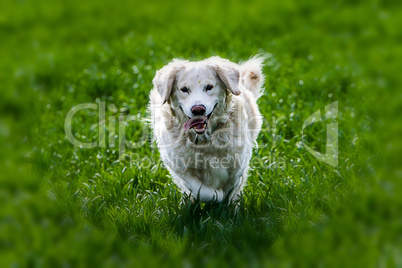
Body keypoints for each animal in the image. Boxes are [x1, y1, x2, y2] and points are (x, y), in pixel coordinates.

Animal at [149, 55, 266, 202]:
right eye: (184, 89)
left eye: (209, 87)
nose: (198, 109)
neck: (204, 139)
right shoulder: (181, 168)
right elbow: (206, 192)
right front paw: (217, 196)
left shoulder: (238, 166)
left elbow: (232, 187)